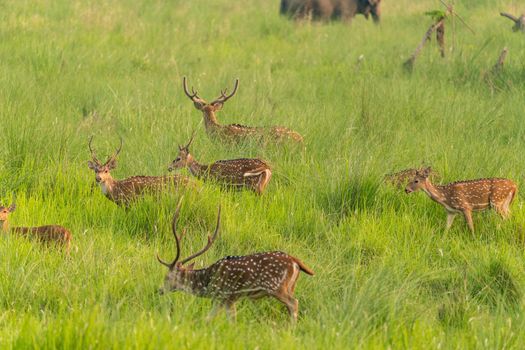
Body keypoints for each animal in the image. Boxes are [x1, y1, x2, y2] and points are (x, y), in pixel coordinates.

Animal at [157, 200, 316, 322]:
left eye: (167, 277)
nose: (160, 290)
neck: (207, 283)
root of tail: (295, 261)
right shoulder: (225, 299)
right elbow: (211, 319)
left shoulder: (225, 295)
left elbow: (226, 320)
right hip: (290, 286)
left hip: (276, 286)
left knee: (293, 303)